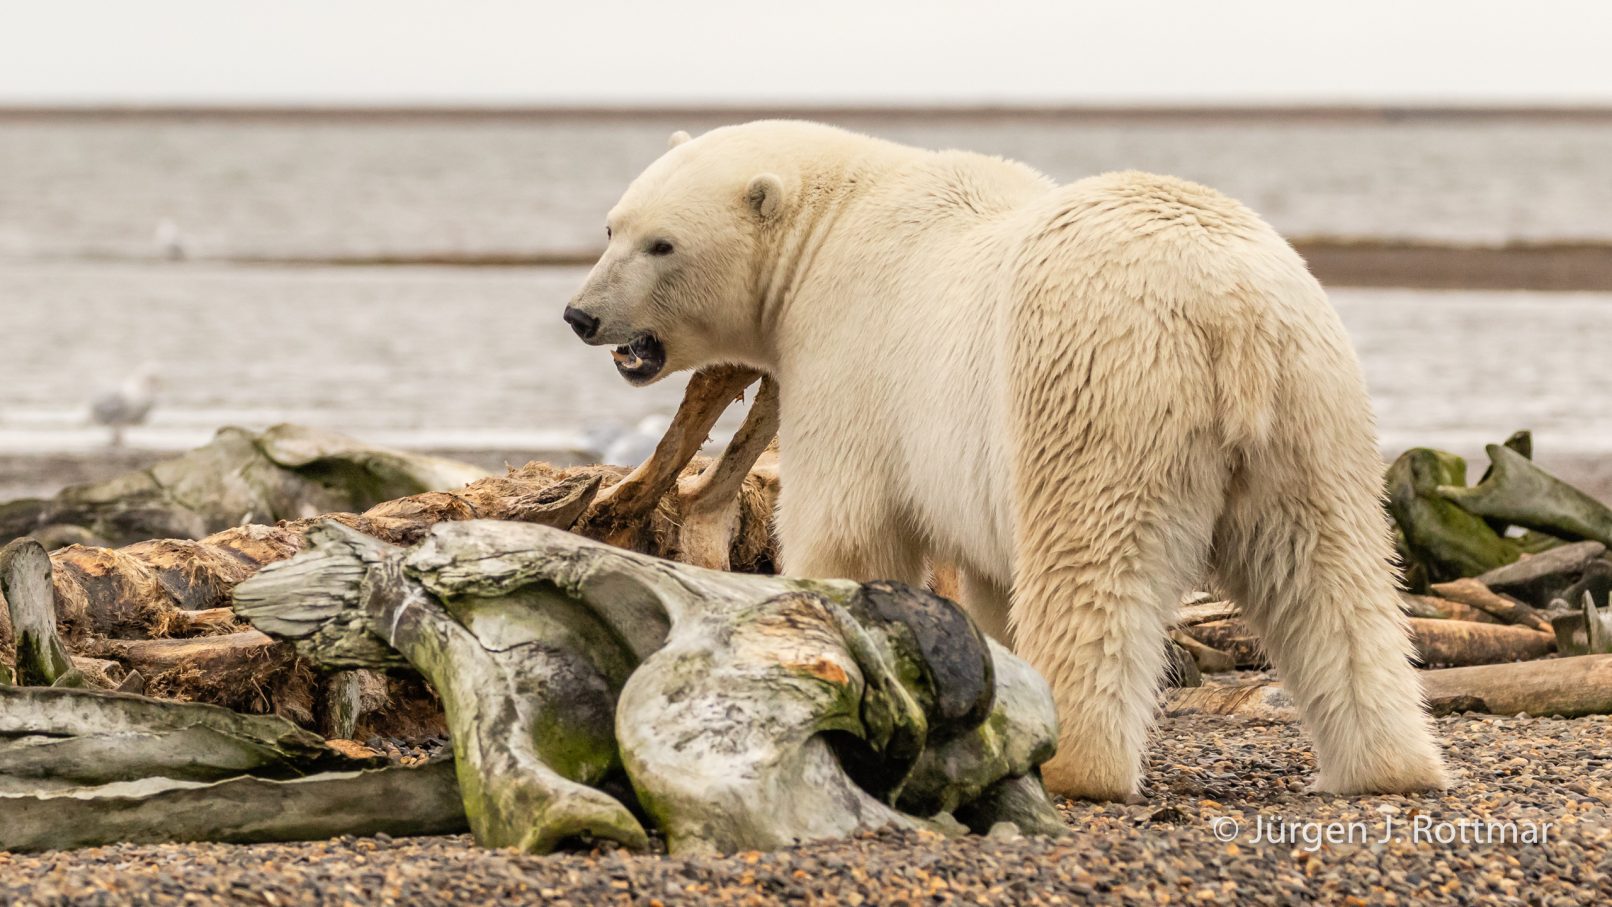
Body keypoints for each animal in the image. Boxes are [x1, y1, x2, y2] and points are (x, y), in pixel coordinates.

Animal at [563, 120, 1449, 800]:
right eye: (611, 226)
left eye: (661, 243)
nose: (581, 314)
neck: (832, 225)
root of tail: (1227, 310)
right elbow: (987, 579)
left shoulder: (852, 353)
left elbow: (850, 525)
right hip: (1313, 407)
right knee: (1330, 574)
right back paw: (1386, 764)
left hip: (1097, 388)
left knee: (1091, 570)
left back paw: (1075, 762)